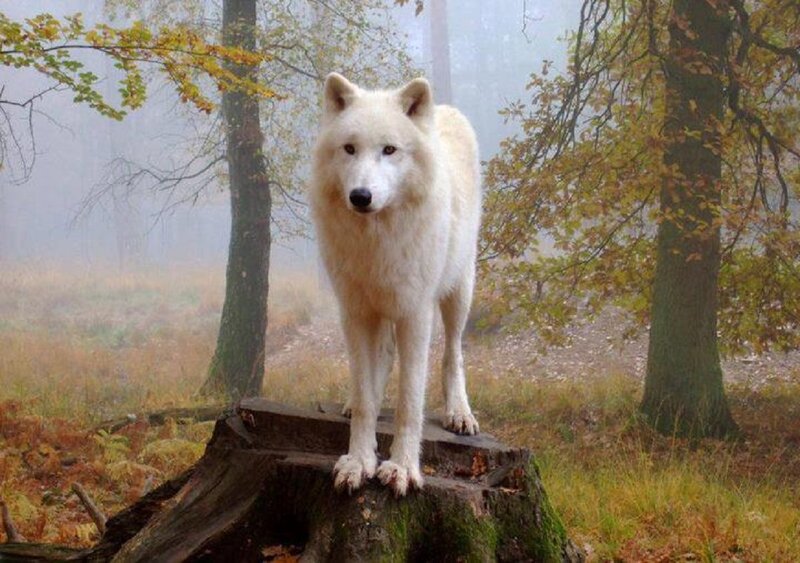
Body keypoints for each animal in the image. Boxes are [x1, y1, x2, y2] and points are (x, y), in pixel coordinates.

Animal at [310, 73, 482, 497]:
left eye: (389, 150)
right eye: (349, 149)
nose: (361, 196)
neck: (378, 241)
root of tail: (445, 110)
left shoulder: (415, 315)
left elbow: (409, 402)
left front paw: (402, 468)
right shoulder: (354, 312)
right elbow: (367, 400)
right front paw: (359, 461)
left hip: (458, 292)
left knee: (453, 353)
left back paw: (459, 413)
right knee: (381, 360)